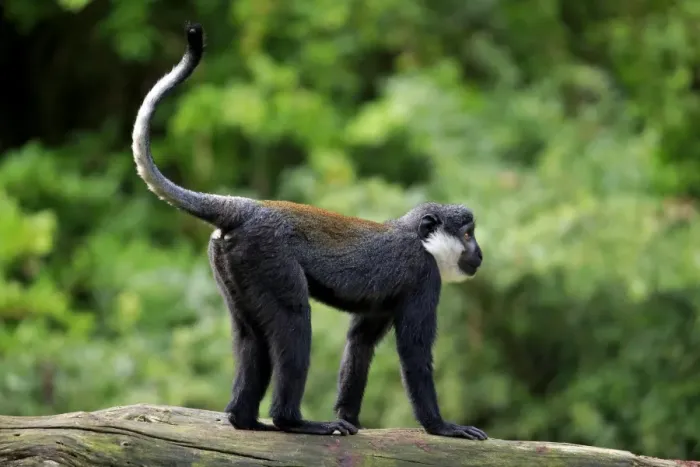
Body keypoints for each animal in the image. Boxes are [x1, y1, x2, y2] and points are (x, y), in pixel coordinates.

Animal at [131, 22, 487, 440]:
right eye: (468, 235)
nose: (479, 253)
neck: (420, 240)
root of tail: (247, 208)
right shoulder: (423, 276)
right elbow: (413, 352)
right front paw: (442, 426)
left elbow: (360, 343)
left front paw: (350, 417)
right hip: (268, 262)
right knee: (293, 322)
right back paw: (291, 420)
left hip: (235, 268)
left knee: (251, 335)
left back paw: (244, 418)